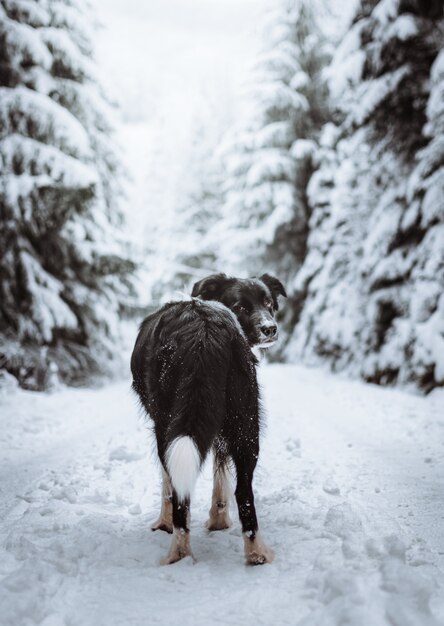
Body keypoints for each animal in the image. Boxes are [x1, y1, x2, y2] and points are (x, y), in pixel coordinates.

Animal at [130, 270, 286, 564]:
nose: (270, 328)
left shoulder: (161, 426)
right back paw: (256, 553)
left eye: (268, 303)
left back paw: (178, 553)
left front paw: (163, 523)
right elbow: (221, 475)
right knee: (243, 491)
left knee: (180, 494)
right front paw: (219, 520)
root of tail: (204, 330)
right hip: (246, 419)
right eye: (240, 307)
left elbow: (167, 485)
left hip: (168, 423)